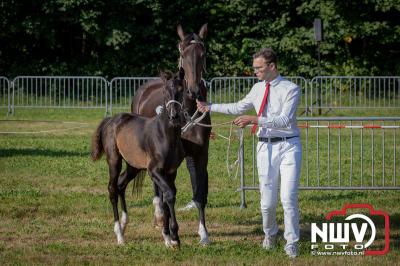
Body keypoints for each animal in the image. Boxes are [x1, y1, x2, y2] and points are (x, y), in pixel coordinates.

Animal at [91, 70, 185, 247]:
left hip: (133, 166)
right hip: (114, 161)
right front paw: (174, 237)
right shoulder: (154, 171)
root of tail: (111, 120)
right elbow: (169, 195)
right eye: (164, 91)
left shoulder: (171, 172)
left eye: (181, 90)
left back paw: (124, 224)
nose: (174, 116)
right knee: (112, 189)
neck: (165, 135)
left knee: (121, 184)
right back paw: (119, 234)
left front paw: (168, 237)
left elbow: (166, 199)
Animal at [127, 23, 212, 244]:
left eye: (203, 53)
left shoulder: (199, 154)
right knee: (158, 189)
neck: (188, 110)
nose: (193, 91)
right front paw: (169, 231)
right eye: (183, 52)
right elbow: (167, 192)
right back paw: (159, 216)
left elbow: (200, 192)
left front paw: (204, 233)